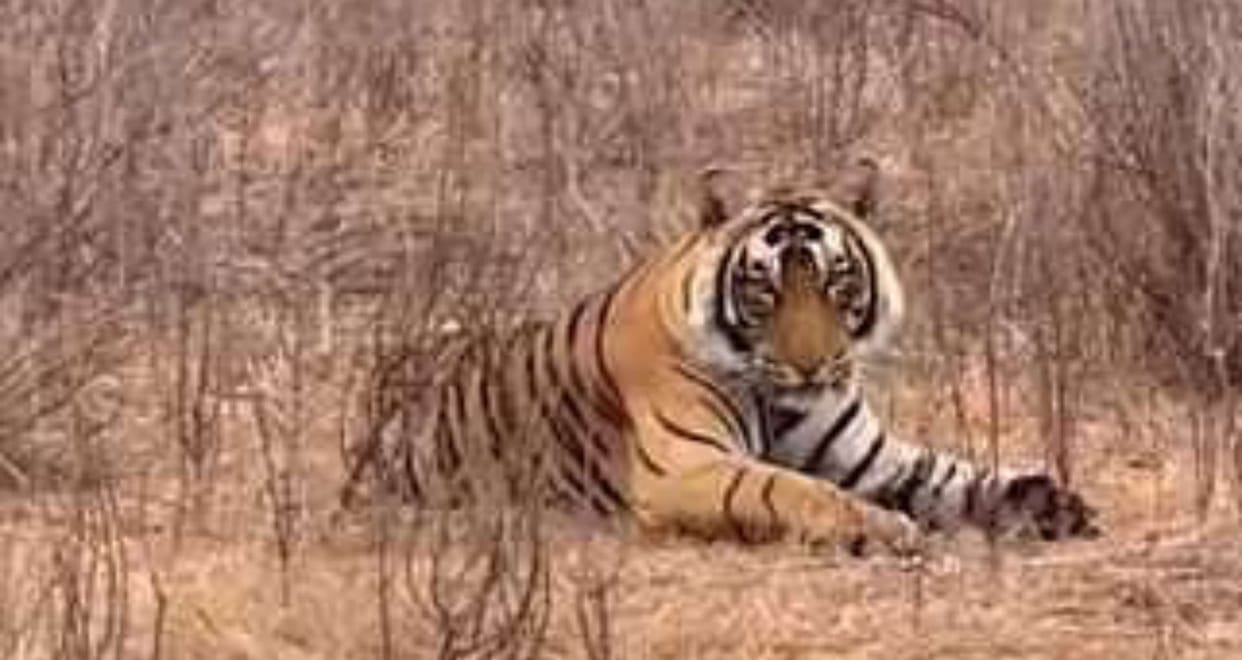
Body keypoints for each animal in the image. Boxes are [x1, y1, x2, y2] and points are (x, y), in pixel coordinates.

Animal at [347, 161, 1098, 553]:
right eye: (764, 288)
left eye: (838, 281)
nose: (813, 367)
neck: (779, 396)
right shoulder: (683, 466)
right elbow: (788, 487)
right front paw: (885, 526)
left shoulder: (872, 459)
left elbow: (950, 475)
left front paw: (1052, 503)